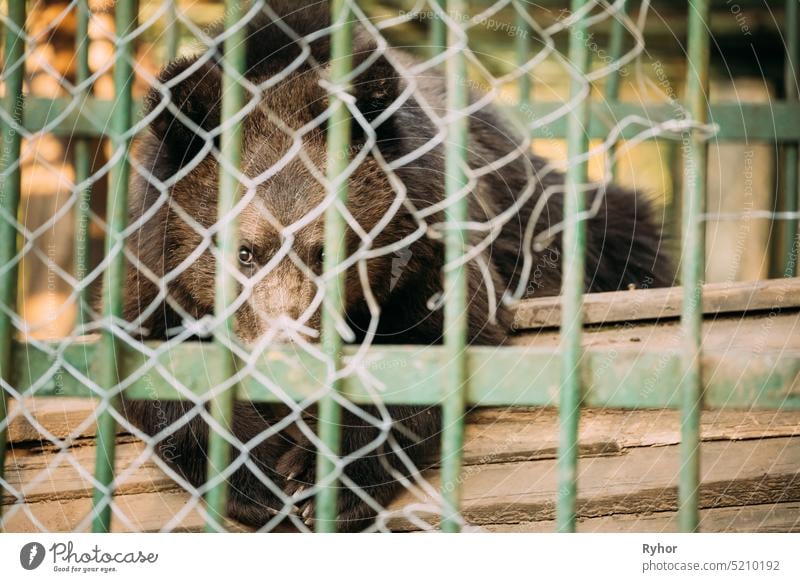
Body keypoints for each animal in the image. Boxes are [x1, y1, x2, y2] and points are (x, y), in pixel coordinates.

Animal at [117, 1, 668, 532]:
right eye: (244, 252)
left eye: (328, 251)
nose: (287, 353)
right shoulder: (152, 264)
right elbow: (159, 369)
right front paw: (261, 481)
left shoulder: (431, 241)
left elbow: (429, 347)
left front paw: (321, 482)